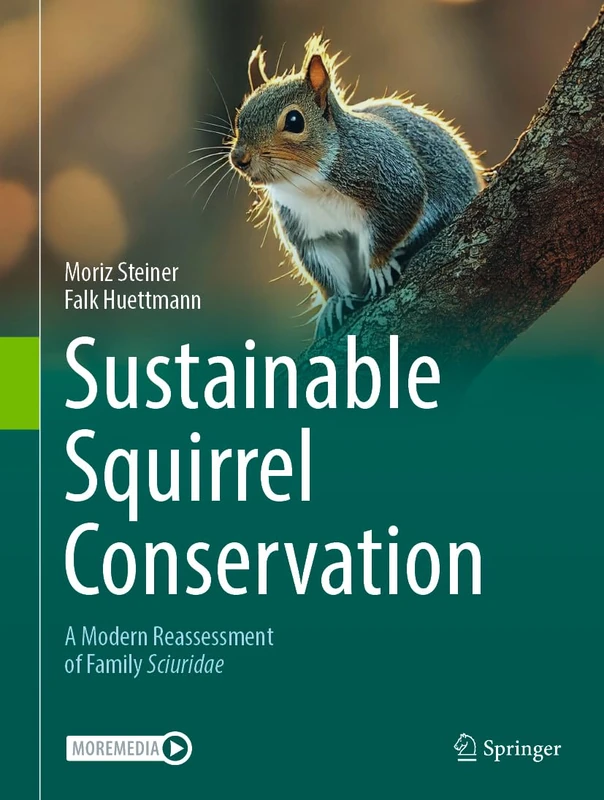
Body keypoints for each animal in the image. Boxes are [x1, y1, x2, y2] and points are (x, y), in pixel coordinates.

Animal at [229, 36, 484, 338]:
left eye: (294, 121)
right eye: (240, 116)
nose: (239, 159)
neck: (308, 184)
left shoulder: (391, 176)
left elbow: (400, 212)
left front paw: (378, 265)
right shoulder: (310, 229)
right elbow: (324, 264)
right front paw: (335, 303)